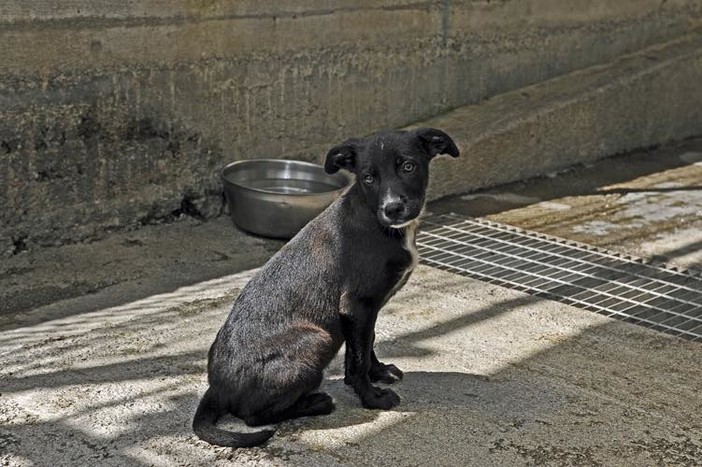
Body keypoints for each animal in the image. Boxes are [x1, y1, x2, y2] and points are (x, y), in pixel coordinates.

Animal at [192, 127, 460, 446]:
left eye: (408, 166)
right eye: (368, 177)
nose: (393, 208)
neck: (376, 220)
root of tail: (217, 388)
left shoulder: (365, 311)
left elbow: (366, 345)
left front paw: (379, 372)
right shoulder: (356, 305)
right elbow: (357, 361)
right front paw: (372, 399)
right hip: (317, 338)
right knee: (253, 417)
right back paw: (316, 403)